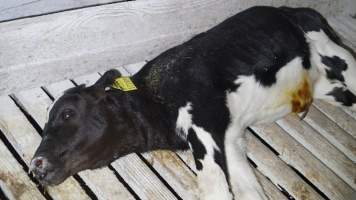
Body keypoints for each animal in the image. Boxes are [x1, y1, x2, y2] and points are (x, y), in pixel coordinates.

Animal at [29, 6, 354, 200]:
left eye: (67, 113)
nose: (35, 165)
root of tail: (290, 8)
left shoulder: (204, 125)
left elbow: (216, 189)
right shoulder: (231, 140)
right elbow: (248, 191)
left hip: (337, 54)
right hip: (329, 87)